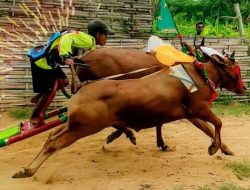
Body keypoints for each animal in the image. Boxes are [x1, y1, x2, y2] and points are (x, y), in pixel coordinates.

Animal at [12, 53, 245, 178]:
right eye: (236, 70)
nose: (243, 89)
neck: (198, 75)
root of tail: (81, 90)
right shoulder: (200, 108)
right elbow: (218, 123)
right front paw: (214, 148)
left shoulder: (191, 114)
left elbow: (209, 129)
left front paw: (225, 148)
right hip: (82, 128)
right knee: (54, 143)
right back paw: (28, 171)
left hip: (72, 124)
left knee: (50, 137)